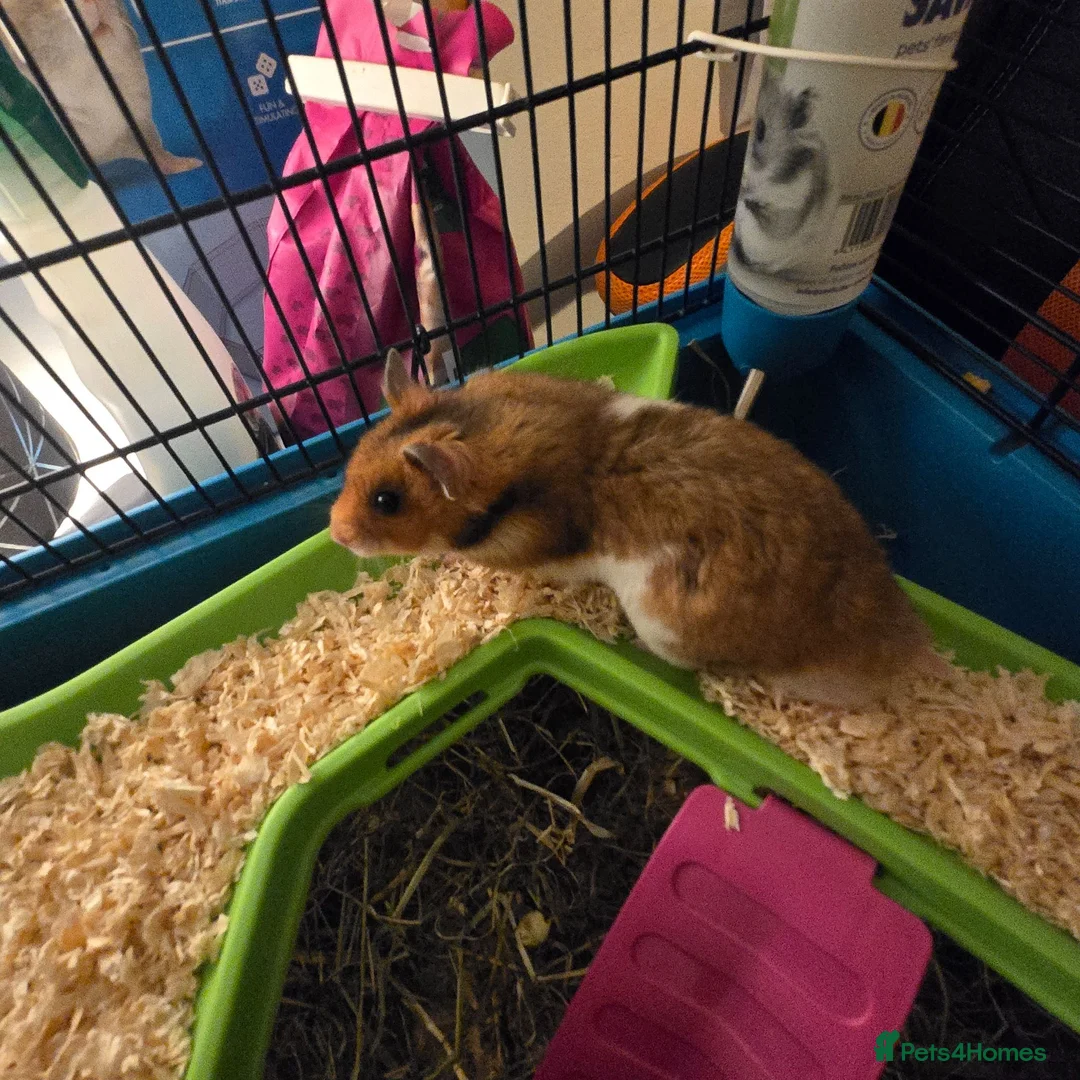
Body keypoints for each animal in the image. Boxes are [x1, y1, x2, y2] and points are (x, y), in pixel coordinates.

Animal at [730, 67, 838, 281]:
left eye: (761, 129)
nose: (745, 185)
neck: (765, 175)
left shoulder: (792, 209)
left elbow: (775, 222)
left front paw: (751, 202)